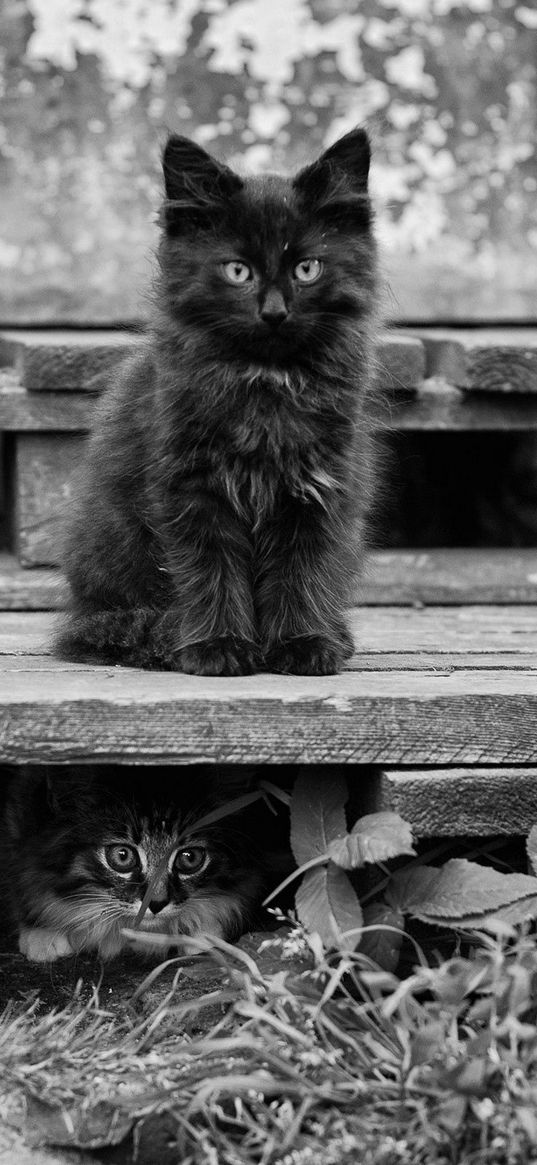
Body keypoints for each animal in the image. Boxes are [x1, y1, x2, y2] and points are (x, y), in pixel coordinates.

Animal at [2, 768, 262, 959]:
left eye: (190, 858)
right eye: (122, 856)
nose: (156, 903)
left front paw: (203, 933)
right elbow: (25, 879)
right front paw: (42, 933)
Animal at [57, 126, 377, 675]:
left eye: (307, 268)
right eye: (237, 271)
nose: (274, 312)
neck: (266, 385)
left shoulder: (316, 489)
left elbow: (301, 571)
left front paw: (302, 643)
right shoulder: (191, 490)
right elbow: (210, 572)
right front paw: (219, 646)